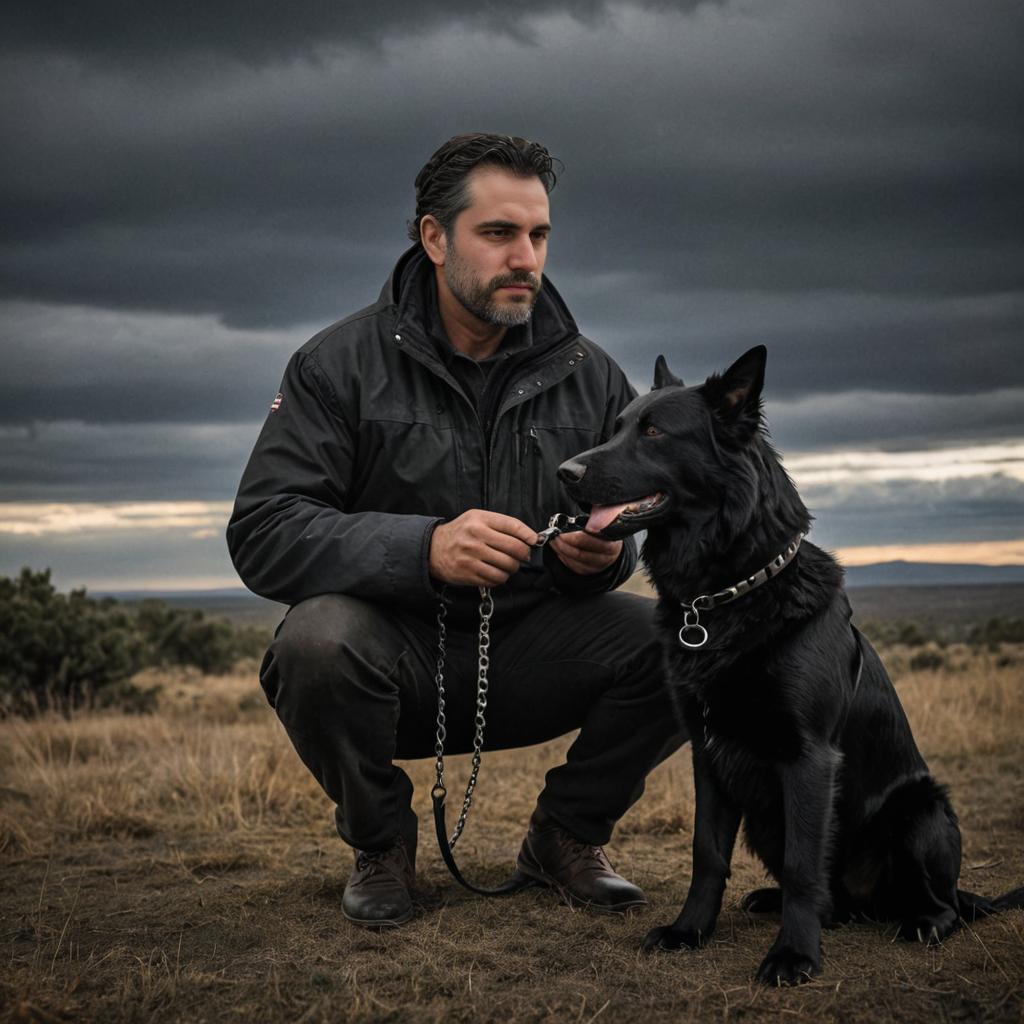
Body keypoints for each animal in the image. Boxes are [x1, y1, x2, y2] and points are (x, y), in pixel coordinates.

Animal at [561, 348, 1024, 987]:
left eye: (654, 433)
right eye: (619, 427)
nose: (565, 472)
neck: (728, 594)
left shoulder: (808, 757)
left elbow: (806, 864)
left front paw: (794, 956)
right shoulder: (709, 753)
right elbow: (708, 853)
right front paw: (690, 931)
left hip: (921, 811)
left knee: (939, 902)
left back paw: (922, 922)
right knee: (835, 901)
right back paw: (777, 902)